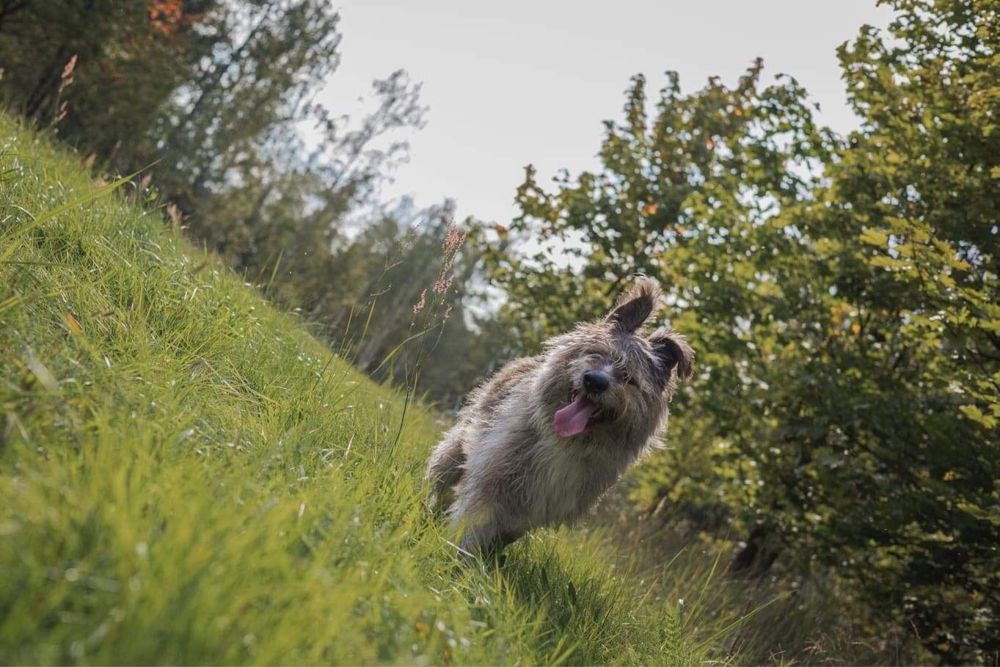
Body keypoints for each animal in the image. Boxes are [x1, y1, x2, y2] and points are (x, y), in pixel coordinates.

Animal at [424, 276, 696, 552]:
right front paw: (457, 553)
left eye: (629, 377)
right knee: (443, 476)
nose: (594, 381)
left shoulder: (535, 509)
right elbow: (473, 522)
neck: (567, 442)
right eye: (596, 353)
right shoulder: (493, 478)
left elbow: (501, 533)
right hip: (459, 446)